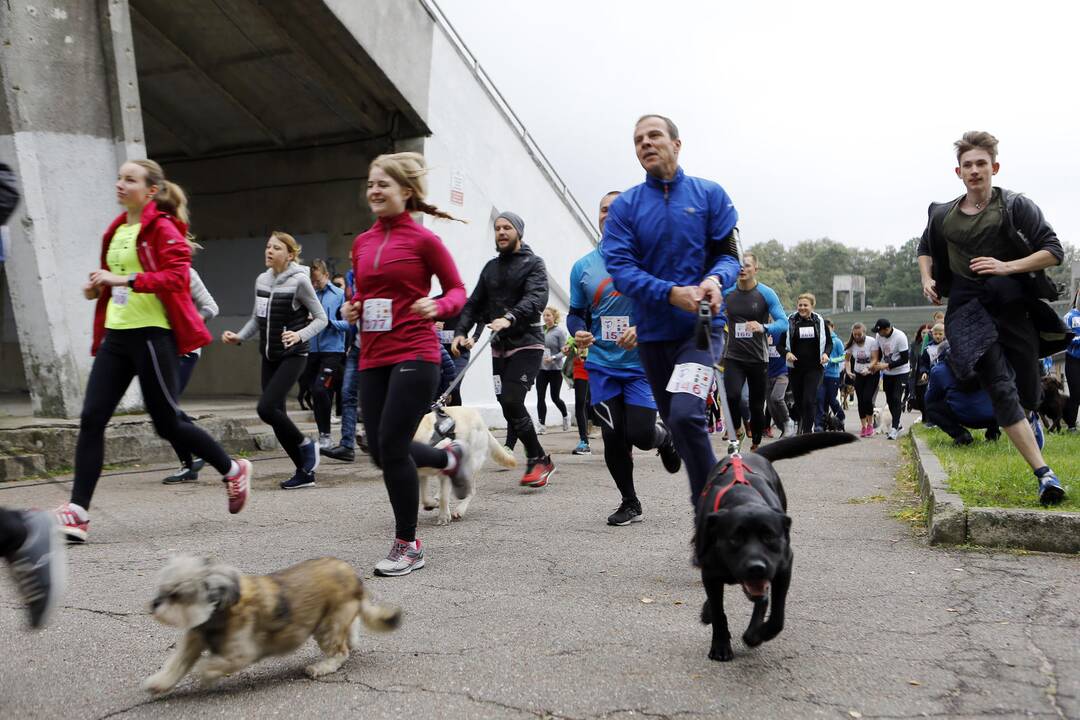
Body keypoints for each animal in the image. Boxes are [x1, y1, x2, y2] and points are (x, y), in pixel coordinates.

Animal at [141, 557, 399, 695]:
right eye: (161, 588)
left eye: (176, 594)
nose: (154, 604)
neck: (220, 608)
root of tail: (354, 577)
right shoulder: (195, 638)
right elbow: (177, 664)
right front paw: (159, 683)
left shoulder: (240, 654)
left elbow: (207, 666)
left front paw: (205, 676)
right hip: (335, 618)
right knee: (351, 633)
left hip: (328, 627)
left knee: (340, 652)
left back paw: (322, 667)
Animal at [695, 431, 855, 660]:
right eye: (735, 538)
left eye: (769, 537)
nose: (756, 567)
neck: (743, 499)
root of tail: (749, 454)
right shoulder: (709, 570)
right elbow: (719, 612)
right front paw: (720, 645)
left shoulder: (784, 566)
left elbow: (777, 614)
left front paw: (757, 634)